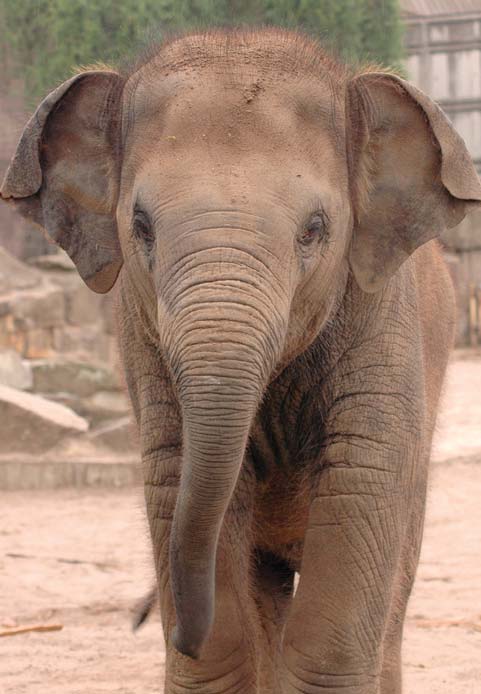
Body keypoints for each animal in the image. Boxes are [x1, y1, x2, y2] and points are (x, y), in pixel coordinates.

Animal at [1, 29, 478, 694]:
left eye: (314, 230)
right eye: (141, 227)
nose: (171, 627)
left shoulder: (386, 321)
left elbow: (361, 482)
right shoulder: (140, 333)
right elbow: (180, 478)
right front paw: (206, 644)